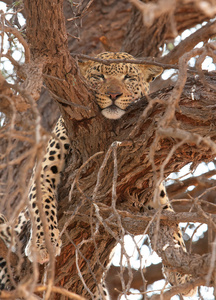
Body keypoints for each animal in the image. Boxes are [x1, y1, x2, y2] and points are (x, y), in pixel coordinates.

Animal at [0, 51, 196, 298]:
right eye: (98, 76)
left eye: (128, 78)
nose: (113, 94)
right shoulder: (44, 169)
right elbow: (41, 204)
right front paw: (43, 244)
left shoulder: (150, 185)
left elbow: (170, 217)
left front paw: (181, 269)